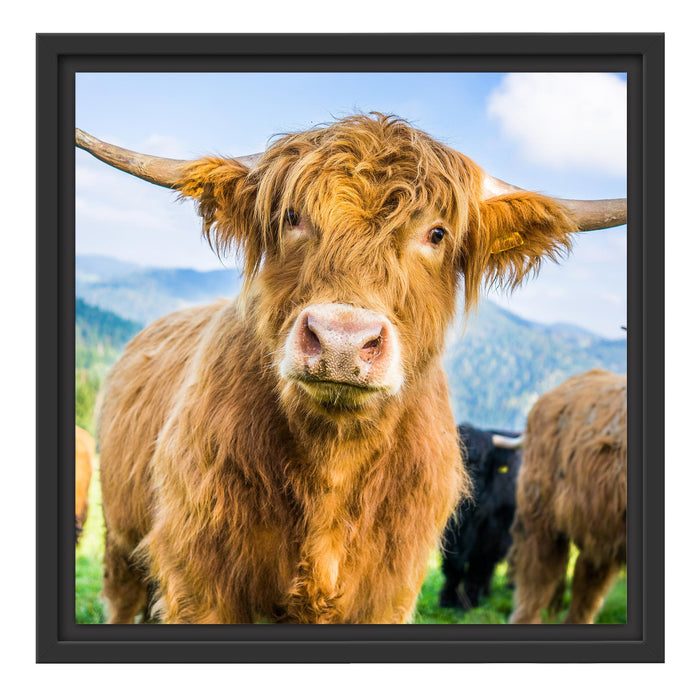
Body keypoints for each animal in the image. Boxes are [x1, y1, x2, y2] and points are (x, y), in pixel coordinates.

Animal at [439, 424, 522, 609]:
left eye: (482, 464)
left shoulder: (492, 535)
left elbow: (477, 567)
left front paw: (468, 603)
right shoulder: (450, 534)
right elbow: (452, 567)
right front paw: (447, 600)